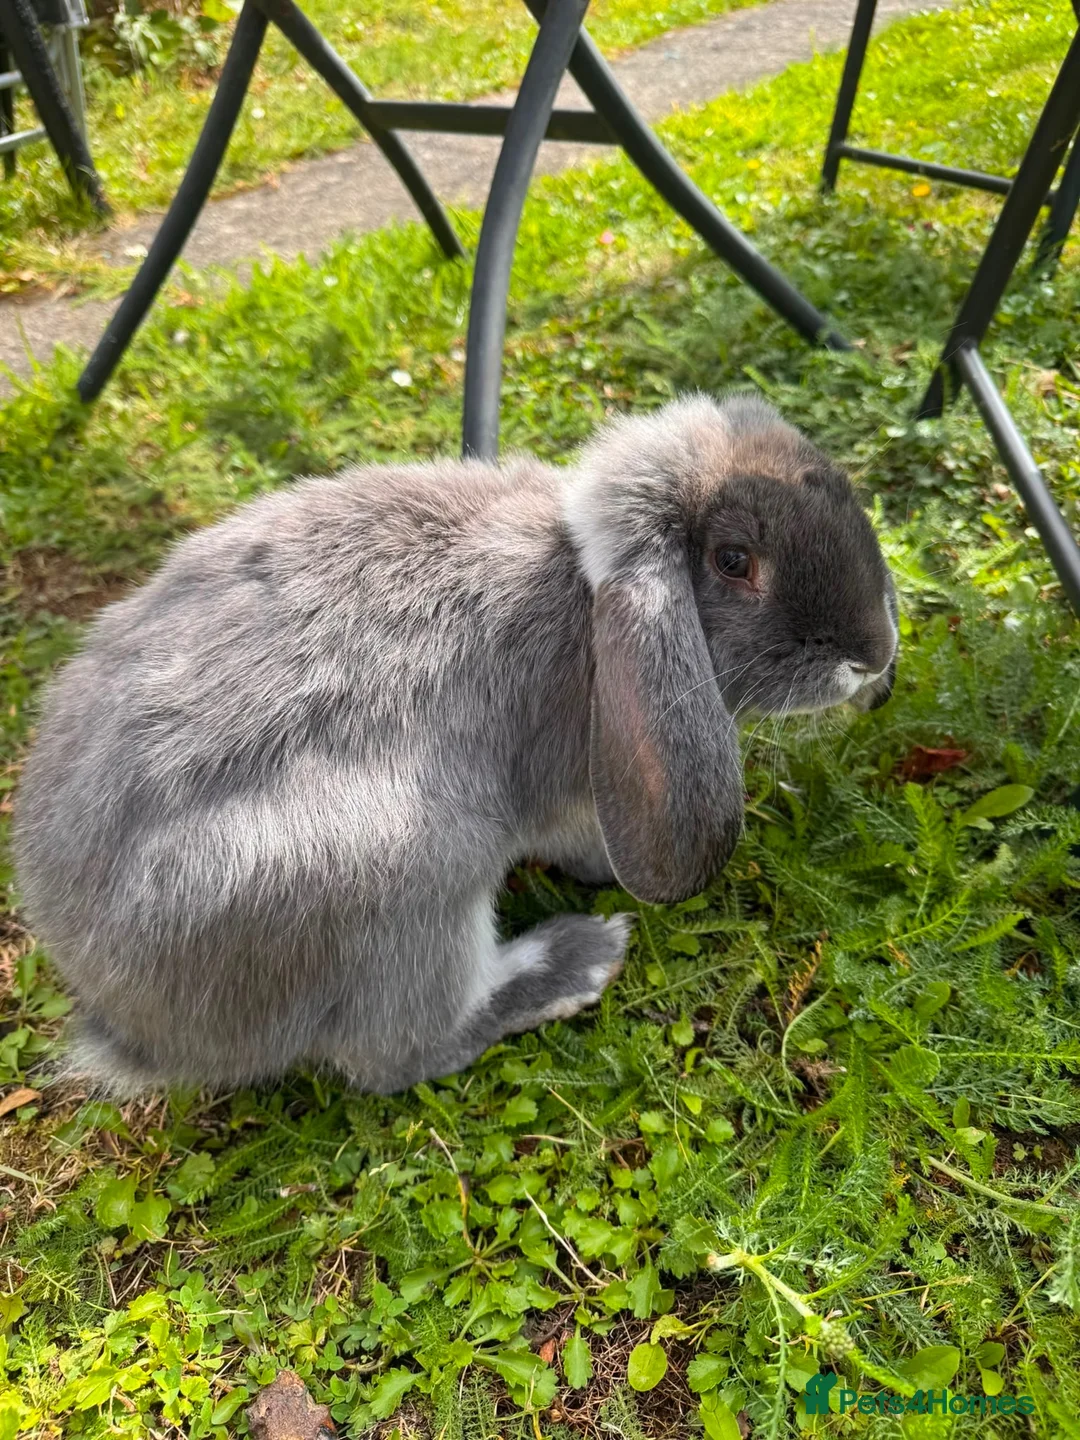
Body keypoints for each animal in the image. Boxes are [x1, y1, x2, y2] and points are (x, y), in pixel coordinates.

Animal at [13, 393, 897, 1097]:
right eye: (734, 560)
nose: (873, 656)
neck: (581, 597)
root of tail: (134, 1025)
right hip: (410, 871)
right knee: (399, 1053)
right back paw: (573, 960)